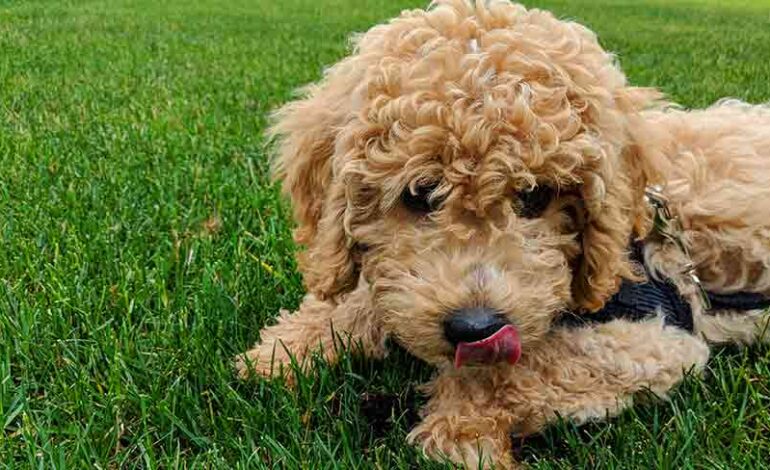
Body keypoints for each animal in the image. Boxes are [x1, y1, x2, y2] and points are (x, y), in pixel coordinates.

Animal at [237, 1, 768, 468]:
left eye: (535, 196)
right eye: (419, 193)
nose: (474, 327)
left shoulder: (653, 335)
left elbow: (519, 369)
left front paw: (459, 430)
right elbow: (367, 297)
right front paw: (284, 351)